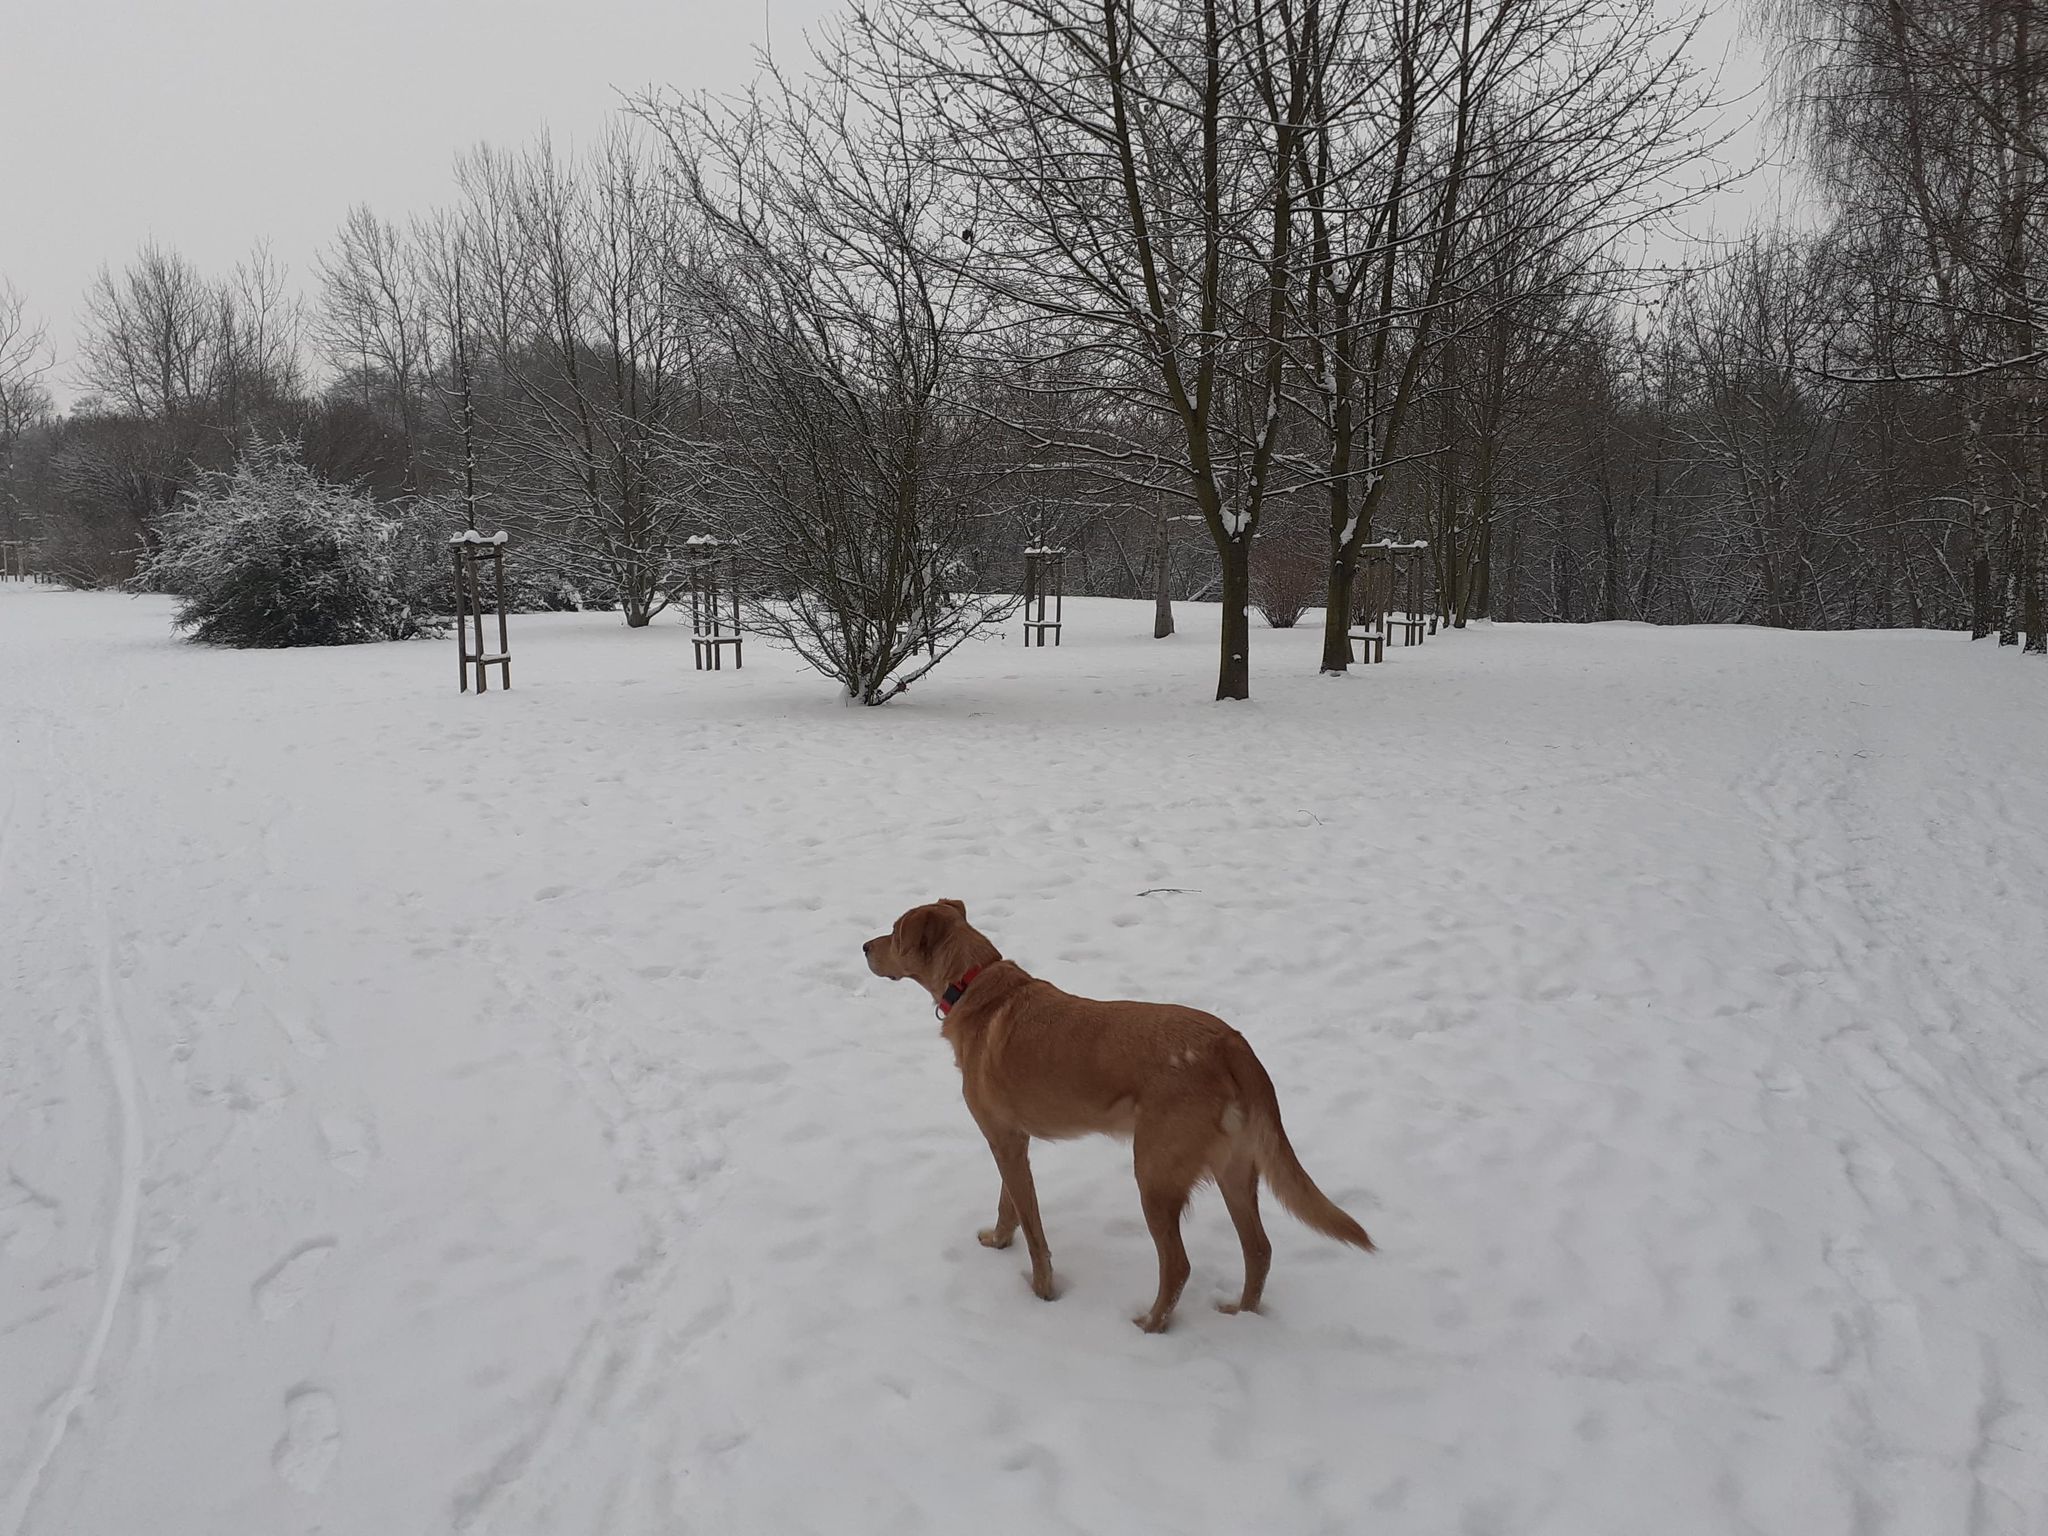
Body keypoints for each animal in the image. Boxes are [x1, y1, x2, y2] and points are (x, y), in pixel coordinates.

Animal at [864, 901, 1376, 1335]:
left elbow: (1033, 1229)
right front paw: (998, 1241)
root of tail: (1231, 1042)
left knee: (1178, 1265)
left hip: (1154, 1173)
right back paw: (1242, 1316)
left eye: (894, 931)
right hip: (1234, 1170)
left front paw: (1042, 1292)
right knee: (1259, 1249)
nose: (864, 947)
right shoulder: (1013, 1140)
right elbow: (1009, 1205)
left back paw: (1150, 1326)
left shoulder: (1004, 1139)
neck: (973, 982)